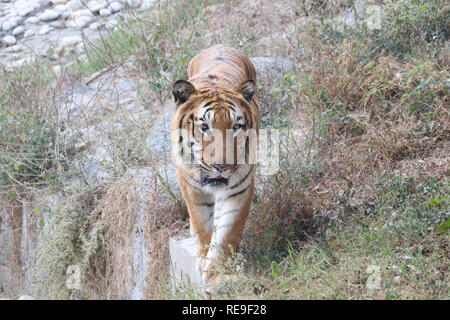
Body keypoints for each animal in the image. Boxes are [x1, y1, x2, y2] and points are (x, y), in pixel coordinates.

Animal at [170, 43, 260, 284]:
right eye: (204, 127)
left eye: (236, 127)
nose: (223, 166)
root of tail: (219, 44)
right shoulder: (190, 186)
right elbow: (201, 224)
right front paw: (204, 259)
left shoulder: (239, 189)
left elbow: (226, 235)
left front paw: (219, 276)